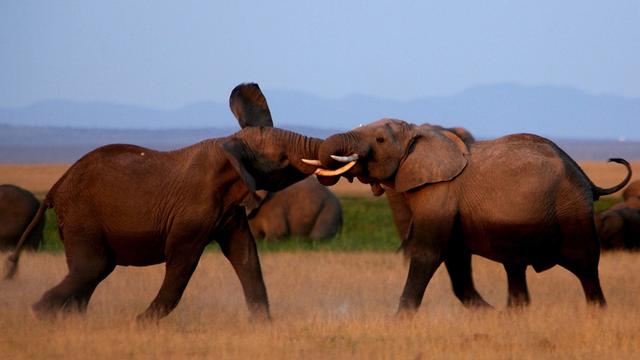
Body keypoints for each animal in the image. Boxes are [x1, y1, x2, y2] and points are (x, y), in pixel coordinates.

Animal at [3, 83, 324, 320]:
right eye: (282, 159)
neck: (230, 143)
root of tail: (56, 185)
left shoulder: (229, 209)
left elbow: (246, 256)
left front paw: (263, 325)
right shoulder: (193, 213)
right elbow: (182, 262)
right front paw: (141, 323)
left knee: (90, 270)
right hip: (81, 216)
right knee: (91, 267)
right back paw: (40, 314)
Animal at [312, 119, 632, 312]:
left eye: (379, 139)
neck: (419, 133)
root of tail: (588, 179)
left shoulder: (440, 192)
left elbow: (428, 252)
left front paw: (399, 319)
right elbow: (455, 260)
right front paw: (488, 314)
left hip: (572, 209)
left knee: (585, 265)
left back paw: (596, 313)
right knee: (515, 267)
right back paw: (513, 314)